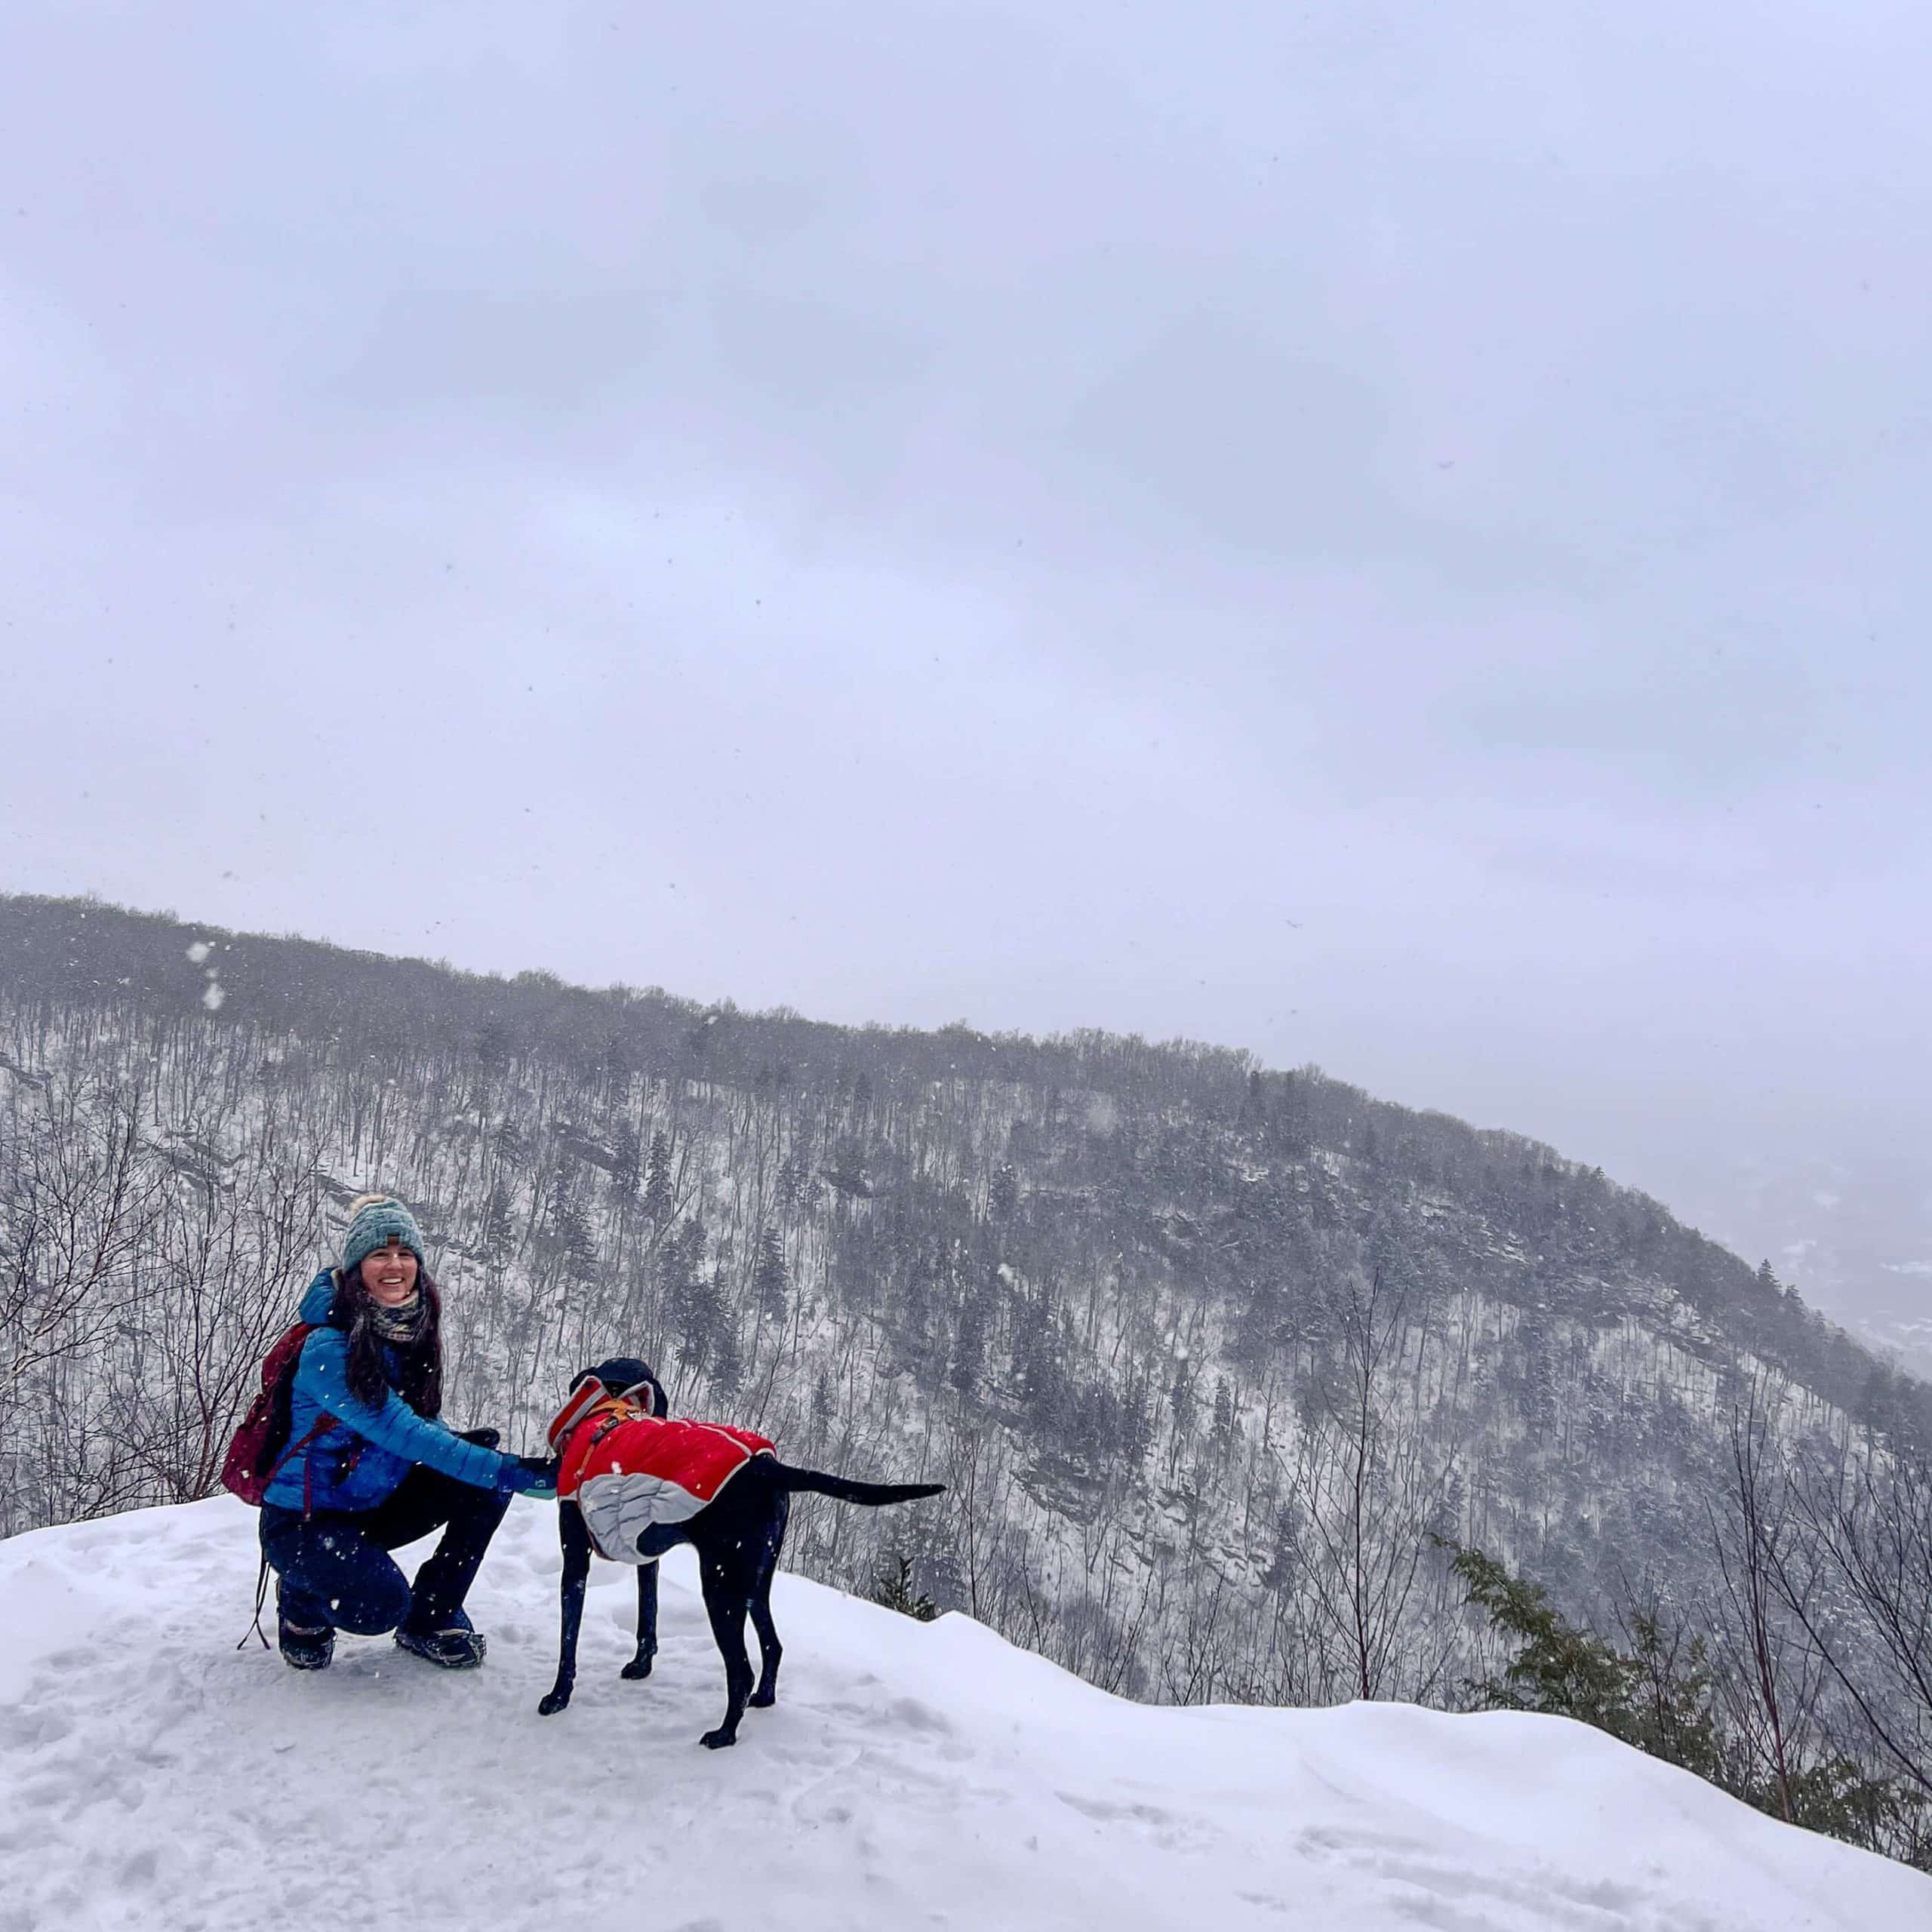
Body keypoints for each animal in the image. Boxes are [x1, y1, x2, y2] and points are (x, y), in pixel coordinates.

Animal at [537, 1360, 943, 1754]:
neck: (605, 1412)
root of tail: (765, 1468)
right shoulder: (646, 1559)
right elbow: (647, 1619)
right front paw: (641, 1665)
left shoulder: (576, 1563)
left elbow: (569, 1641)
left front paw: (558, 1697)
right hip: (754, 1581)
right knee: (773, 1646)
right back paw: (762, 1697)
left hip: (720, 1585)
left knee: (741, 1671)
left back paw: (724, 1734)